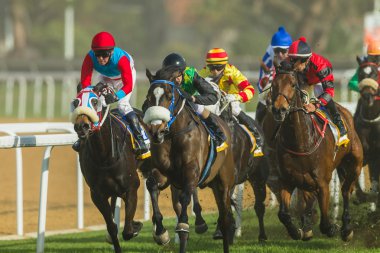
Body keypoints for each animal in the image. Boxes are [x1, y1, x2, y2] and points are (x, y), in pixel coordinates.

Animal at [71, 85, 142, 253]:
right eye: (76, 102)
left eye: (95, 101)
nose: (81, 126)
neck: (104, 156)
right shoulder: (97, 195)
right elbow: (112, 228)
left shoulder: (131, 187)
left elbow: (128, 231)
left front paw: (136, 225)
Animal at [143, 67, 238, 253]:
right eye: (149, 97)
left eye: (169, 95)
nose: (156, 131)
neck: (173, 135)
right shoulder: (165, 174)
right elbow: (152, 186)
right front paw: (161, 232)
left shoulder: (191, 173)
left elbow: (185, 207)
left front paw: (188, 224)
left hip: (224, 182)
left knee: (225, 217)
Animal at [270, 64, 362, 241]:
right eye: (273, 85)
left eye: (293, 84)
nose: (279, 109)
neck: (301, 142)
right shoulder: (286, 179)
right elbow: (283, 214)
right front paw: (296, 231)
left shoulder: (322, 183)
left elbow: (325, 224)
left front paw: (333, 228)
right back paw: (306, 227)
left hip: (355, 164)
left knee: (346, 190)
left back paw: (346, 228)